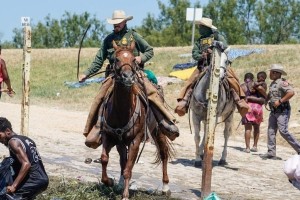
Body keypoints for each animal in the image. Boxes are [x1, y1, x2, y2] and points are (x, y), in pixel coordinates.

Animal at [99, 41, 172, 200]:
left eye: (133, 59)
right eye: (116, 59)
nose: (127, 77)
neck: (121, 111)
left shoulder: (136, 140)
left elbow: (128, 169)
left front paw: (125, 195)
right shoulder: (109, 136)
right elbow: (105, 159)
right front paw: (109, 182)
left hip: (157, 131)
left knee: (163, 153)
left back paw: (165, 187)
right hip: (121, 142)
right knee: (122, 160)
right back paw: (120, 183)